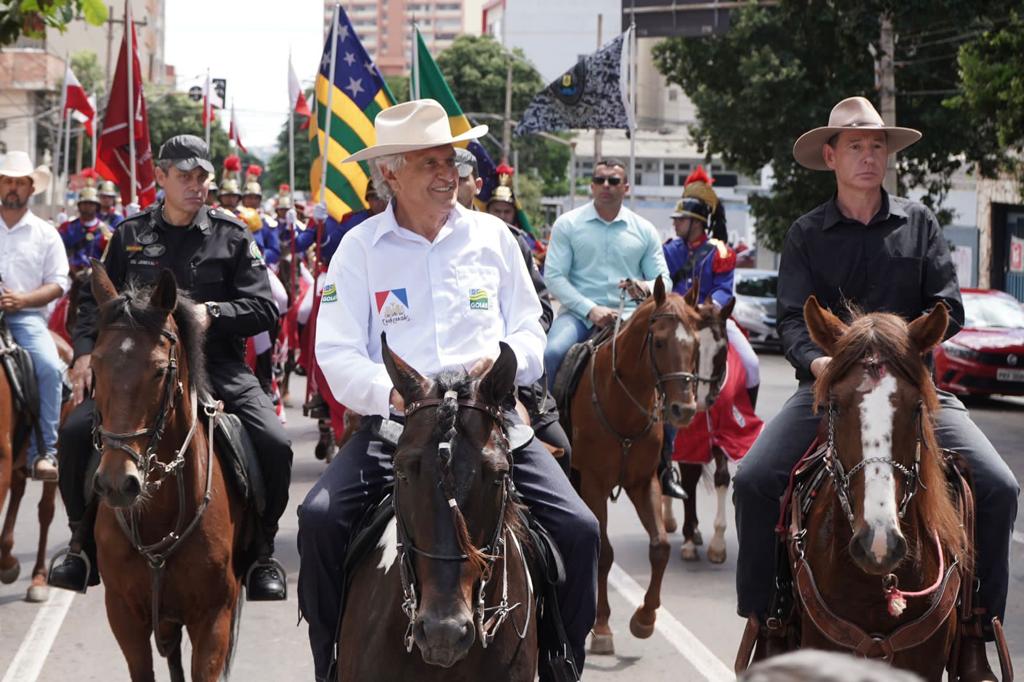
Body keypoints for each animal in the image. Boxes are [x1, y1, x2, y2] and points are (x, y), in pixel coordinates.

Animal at [88, 262, 247, 679]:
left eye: (160, 371)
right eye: (94, 364)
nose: (118, 483)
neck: (159, 515)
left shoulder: (213, 619)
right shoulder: (124, 616)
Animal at [569, 274, 704, 655]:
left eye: (697, 344)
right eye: (658, 342)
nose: (684, 410)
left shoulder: (644, 482)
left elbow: (660, 547)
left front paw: (645, 619)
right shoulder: (594, 484)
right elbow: (603, 552)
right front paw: (601, 626)